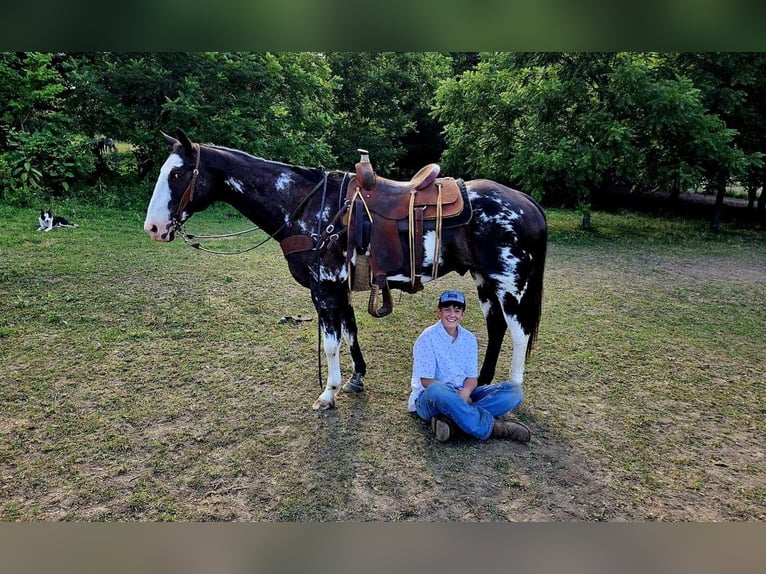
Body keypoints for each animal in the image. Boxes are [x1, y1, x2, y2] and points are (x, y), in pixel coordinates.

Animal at [144, 133, 548, 412]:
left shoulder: (324, 289)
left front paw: (328, 392)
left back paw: (511, 394)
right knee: (496, 329)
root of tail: (528, 204)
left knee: (518, 334)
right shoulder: (340, 288)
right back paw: (481, 384)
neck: (307, 207)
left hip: (511, 286)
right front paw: (356, 379)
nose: (153, 228)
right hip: (485, 283)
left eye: (177, 174)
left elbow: (331, 342)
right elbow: (350, 332)